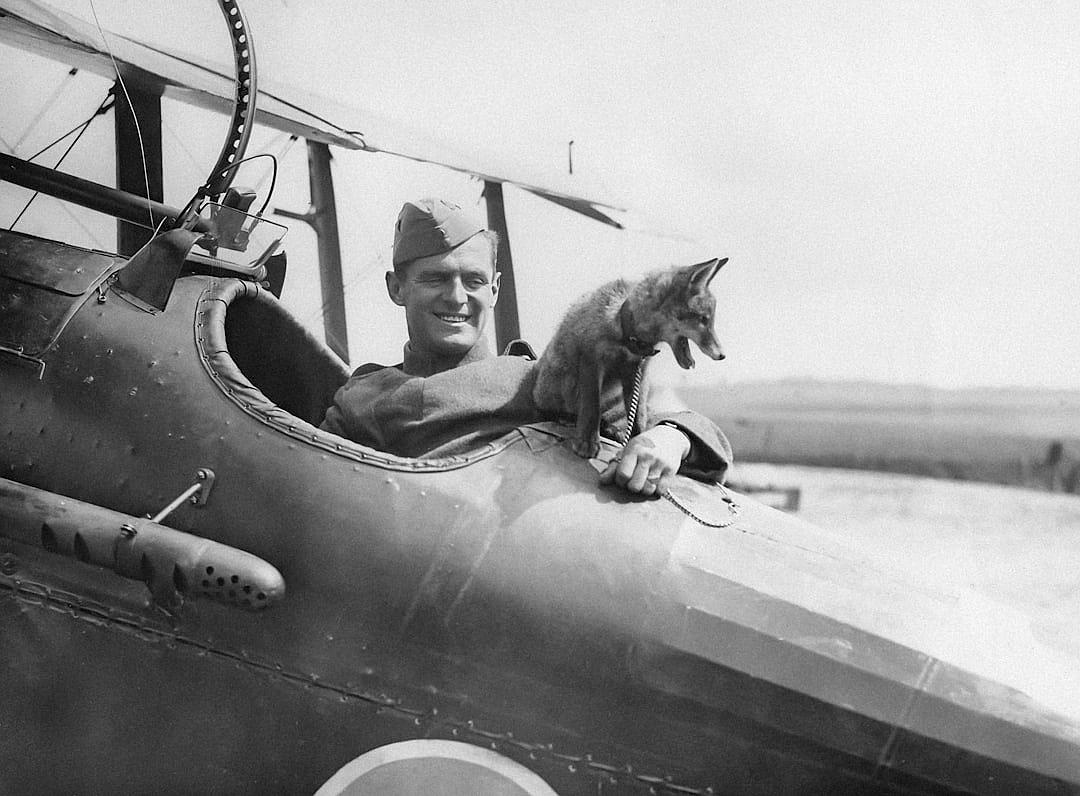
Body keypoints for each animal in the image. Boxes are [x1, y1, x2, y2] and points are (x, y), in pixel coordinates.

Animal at [531, 258, 725, 455]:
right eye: (703, 319)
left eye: (710, 320)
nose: (722, 355)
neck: (628, 337)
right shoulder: (592, 360)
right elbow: (592, 406)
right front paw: (587, 441)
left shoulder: (637, 371)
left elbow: (638, 414)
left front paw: (636, 442)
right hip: (564, 381)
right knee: (550, 410)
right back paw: (567, 418)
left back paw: (610, 428)